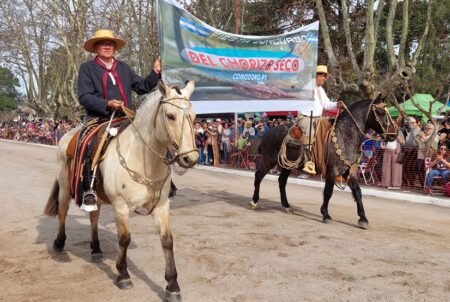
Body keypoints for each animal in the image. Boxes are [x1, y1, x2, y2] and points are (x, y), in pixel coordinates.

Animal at [44, 81, 198, 302]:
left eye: (194, 117)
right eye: (170, 116)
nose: (190, 158)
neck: (143, 160)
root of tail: (68, 134)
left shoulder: (162, 206)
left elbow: (167, 241)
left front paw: (172, 286)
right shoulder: (121, 206)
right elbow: (124, 239)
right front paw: (123, 275)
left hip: (96, 195)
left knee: (94, 217)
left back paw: (96, 249)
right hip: (65, 187)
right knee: (63, 212)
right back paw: (59, 244)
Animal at [250, 95, 398, 228]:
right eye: (380, 112)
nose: (394, 134)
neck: (345, 135)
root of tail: (268, 133)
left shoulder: (350, 171)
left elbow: (357, 192)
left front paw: (363, 218)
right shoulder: (332, 171)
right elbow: (328, 192)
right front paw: (326, 214)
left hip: (287, 165)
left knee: (282, 181)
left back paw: (286, 205)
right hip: (269, 160)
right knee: (259, 176)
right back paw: (254, 202)